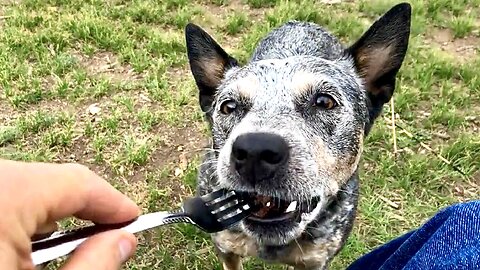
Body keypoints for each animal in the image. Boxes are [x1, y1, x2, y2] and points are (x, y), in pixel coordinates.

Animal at [186, 2, 410, 270]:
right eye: (228, 106)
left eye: (324, 101)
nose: (254, 150)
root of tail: (301, 22)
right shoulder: (226, 247)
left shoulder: (316, 260)